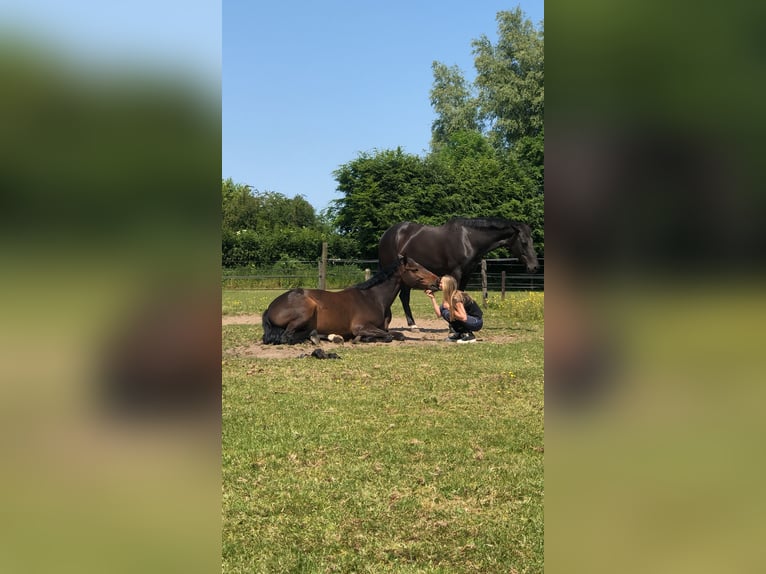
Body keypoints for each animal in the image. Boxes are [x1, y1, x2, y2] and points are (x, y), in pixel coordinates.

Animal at [262, 254, 438, 344]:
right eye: (414, 269)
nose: (437, 281)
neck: (374, 298)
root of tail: (270, 307)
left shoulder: (384, 328)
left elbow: (397, 334)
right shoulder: (360, 327)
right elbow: (386, 336)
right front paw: (362, 338)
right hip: (307, 310)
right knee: (287, 337)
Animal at [380, 218, 540, 328]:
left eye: (532, 241)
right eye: (524, 242)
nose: (534, 267)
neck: (468, 239)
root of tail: (388, 234)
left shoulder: (467, 273)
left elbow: (460, 295)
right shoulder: (456, 272)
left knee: (404, 297)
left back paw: (412, 324)